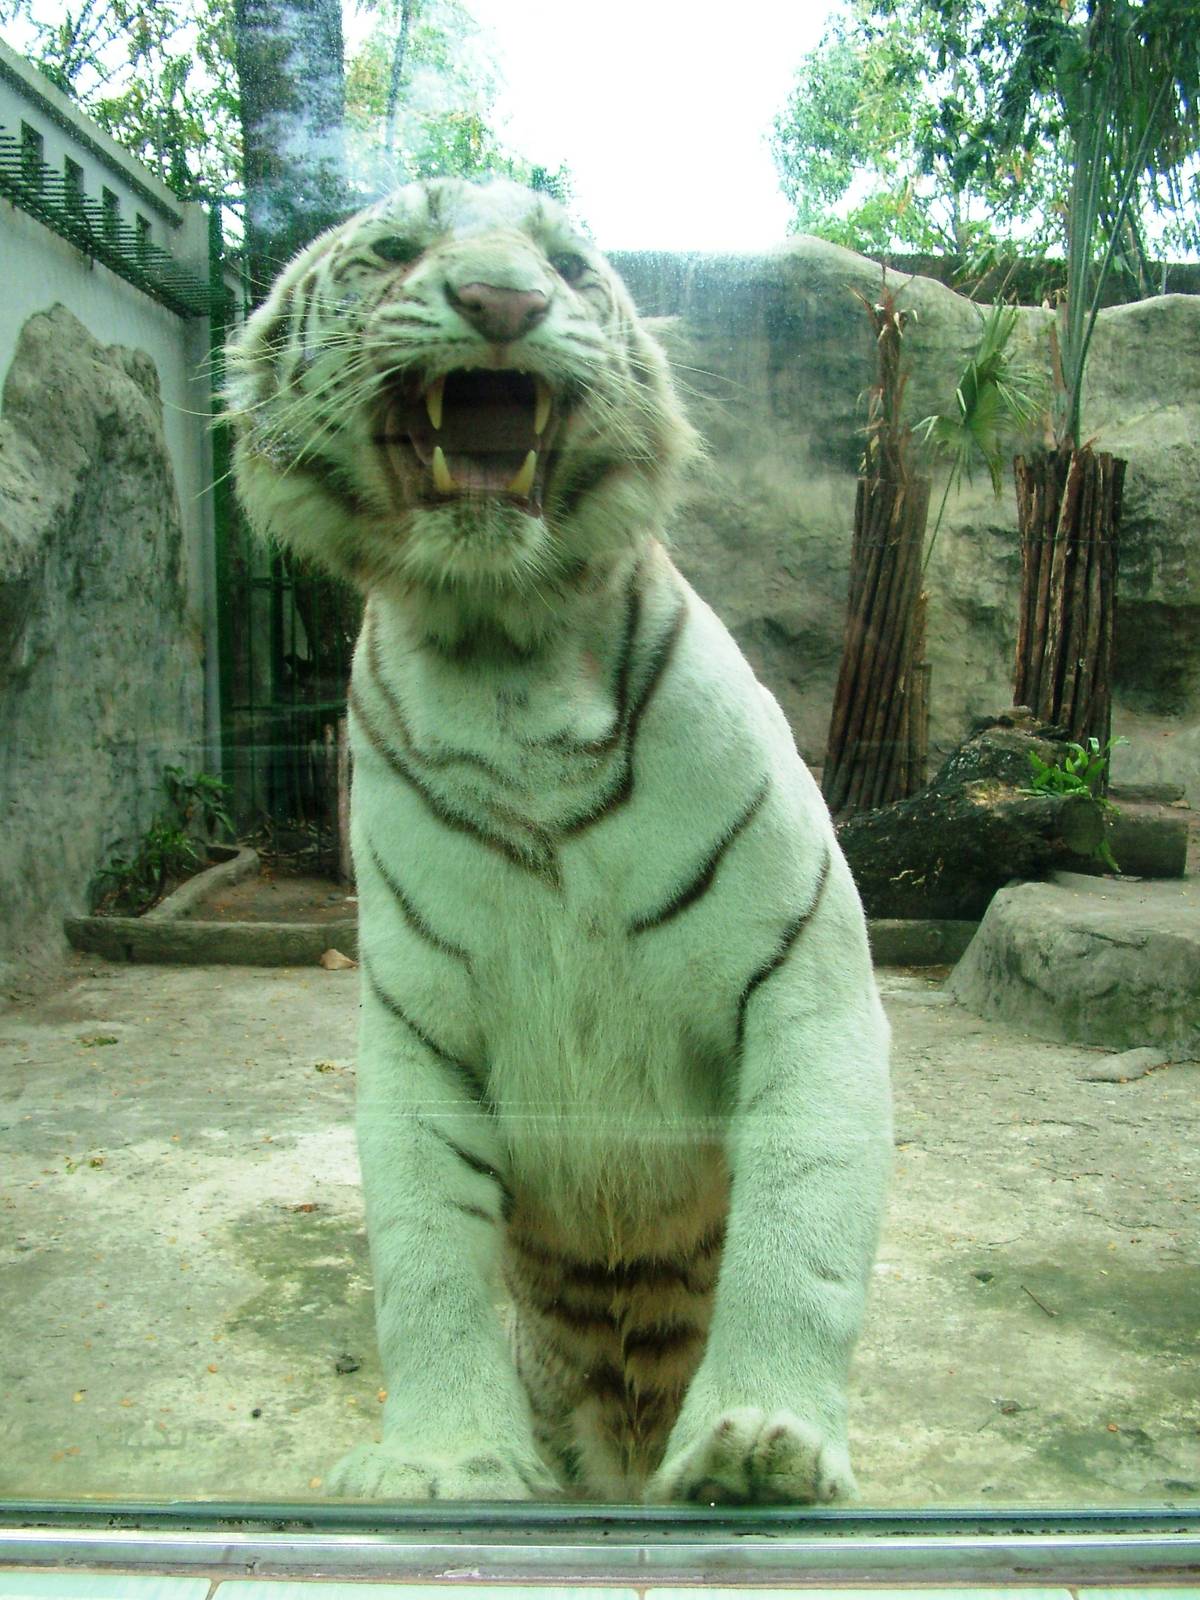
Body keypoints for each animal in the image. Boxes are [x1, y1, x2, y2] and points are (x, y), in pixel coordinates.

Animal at [225, 177, 892, 1505]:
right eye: (396, 250)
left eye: (570, 265)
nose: (502, 300)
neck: (508, 655)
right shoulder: (419, 1020)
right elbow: (425, 1258)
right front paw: (441, 1462)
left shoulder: (804, 977)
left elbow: (799, 1229)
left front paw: (762, 1444)